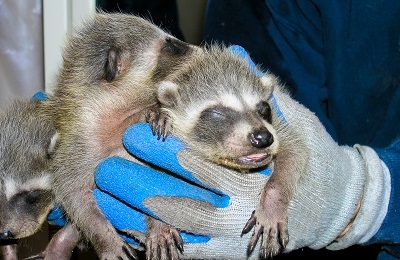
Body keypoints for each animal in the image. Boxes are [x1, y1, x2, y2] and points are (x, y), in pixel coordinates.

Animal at [151, 46, 310, 258]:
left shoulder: (279, 128)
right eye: (216, 113)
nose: (263, 138)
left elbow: (296, 151)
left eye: (264, 108)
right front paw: (156, 222)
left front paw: (271, 206)